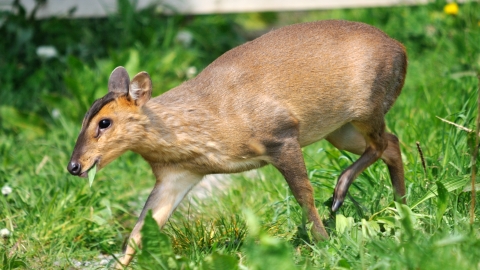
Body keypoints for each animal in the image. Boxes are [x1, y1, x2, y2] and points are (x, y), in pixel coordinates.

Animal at [66, 20, 404, 266]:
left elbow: (303, 195)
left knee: (381, 143)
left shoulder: (281, 134)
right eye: (83, 119)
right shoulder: (175, 173)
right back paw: (401, 205)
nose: (73, 166)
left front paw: (323, 242)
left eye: (104, 122)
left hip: (367, 107)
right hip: (338, 128)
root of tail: (401, 48)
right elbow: (140, 230)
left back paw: (341, 194)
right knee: (392, 143)